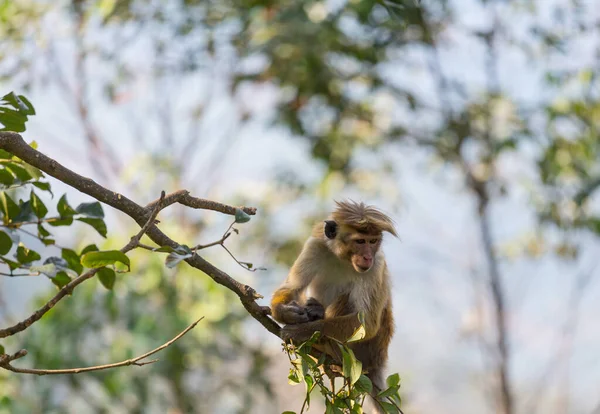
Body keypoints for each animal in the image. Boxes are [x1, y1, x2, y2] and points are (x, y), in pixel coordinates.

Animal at [270, 201, 396, 410]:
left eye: (373, 241)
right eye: (360, 241)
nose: (367, 257)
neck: (343, 258)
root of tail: (377, 361)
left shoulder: (376, 264)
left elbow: (367, 324)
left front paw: (301, 331)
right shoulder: (315, 245)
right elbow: (293, 287)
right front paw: (285, 313)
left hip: (363, 353)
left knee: (347, 300)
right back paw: (315, 311)